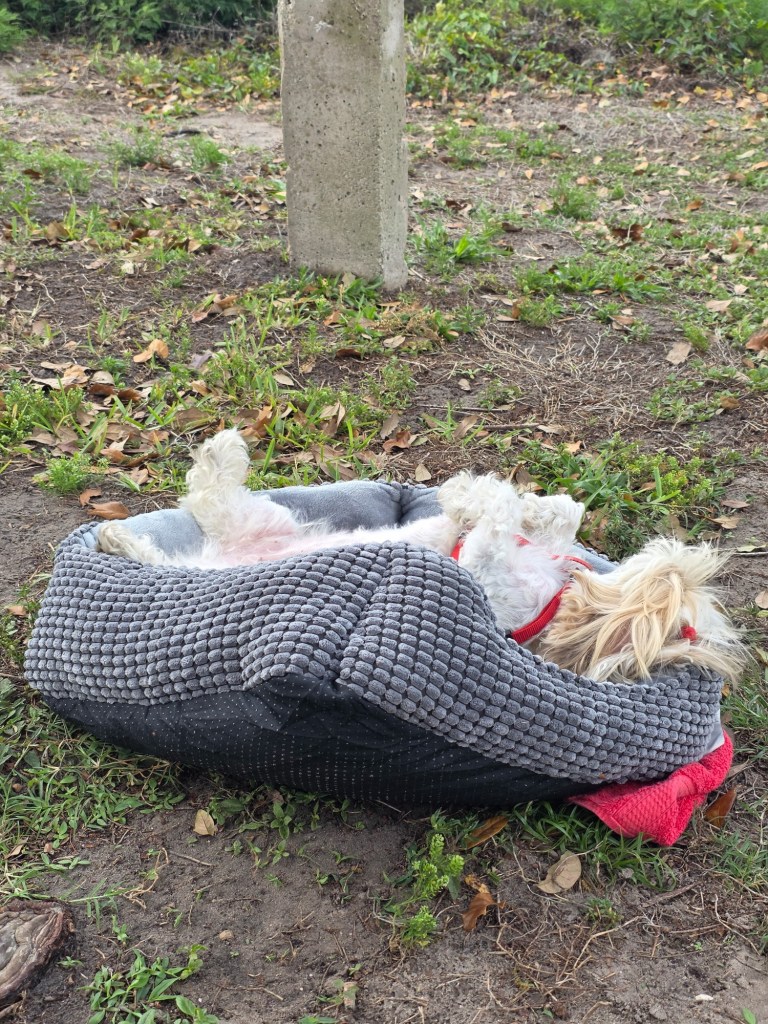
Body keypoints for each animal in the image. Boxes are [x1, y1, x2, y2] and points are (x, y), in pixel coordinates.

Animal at [97, 429, 746, 684]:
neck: (554, 594)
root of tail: (220, 564)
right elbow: (562, 512)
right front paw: (521, 502)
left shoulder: (483, 572)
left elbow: (494, 515)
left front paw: (470, 493)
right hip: (264, 521)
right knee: (205, 498)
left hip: (244, 530)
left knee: (202, 506)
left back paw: (122, 540)